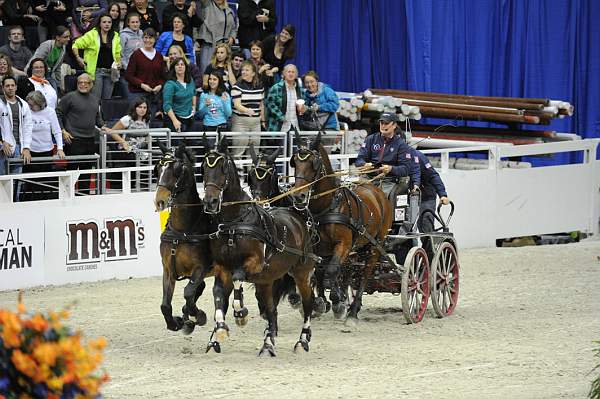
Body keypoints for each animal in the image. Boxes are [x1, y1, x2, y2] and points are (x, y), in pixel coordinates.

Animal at [155, 142, 213, 336]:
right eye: (158, 167)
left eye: (177, 170)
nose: (159, 201)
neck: (182, 231)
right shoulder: (168, 270)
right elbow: (165, 305)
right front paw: (176, 323)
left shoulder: (201, 268)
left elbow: (188, 292)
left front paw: (199, 316)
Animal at [203, 135, 318, 356]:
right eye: (203, 167)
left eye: (223, 167)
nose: (210, 202)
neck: (235, 224)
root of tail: (297, 216)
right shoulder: (222, 269)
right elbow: (218, 296)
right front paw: (218, 334)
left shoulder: (254, 264)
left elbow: (238, 278)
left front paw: (240, 313)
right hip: (266, 280)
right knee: (271, 310)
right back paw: (267, 344)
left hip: (301, 273)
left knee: (308, 304)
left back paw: (302, 341)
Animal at [290, 130, 394, 324]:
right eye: (295, 163)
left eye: (314, 164)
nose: (298, 196)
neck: (327, 206)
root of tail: (378, 191)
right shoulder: (317, 247)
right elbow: (320, 272)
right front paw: (321, 302)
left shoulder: (343, 244)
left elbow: (331, 271)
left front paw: (337, 302)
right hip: (358, 246)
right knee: (348, 271)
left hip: (376, 244)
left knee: (366, 273)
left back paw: (352, 310)